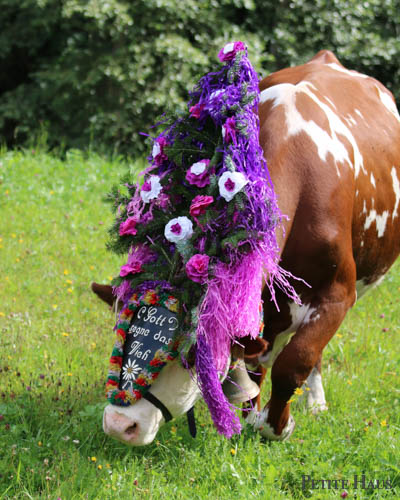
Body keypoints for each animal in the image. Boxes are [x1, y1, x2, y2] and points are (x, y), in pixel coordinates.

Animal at [94, 50, 400, 446]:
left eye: (188, 355)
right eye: (122, 329)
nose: (120, 424)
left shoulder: (339, 293)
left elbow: (296, 359)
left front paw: (275, 425)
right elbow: (253, 359)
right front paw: (251, 413)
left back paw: (316, 402)